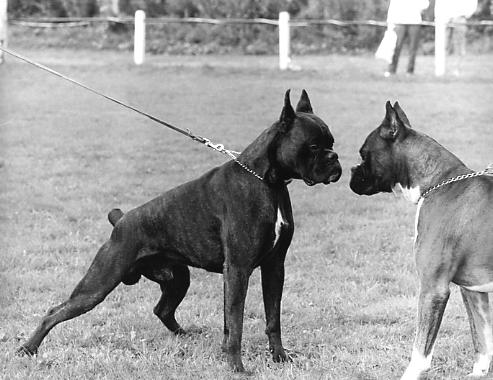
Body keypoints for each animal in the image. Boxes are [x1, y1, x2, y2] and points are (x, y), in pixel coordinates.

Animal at [19, 90, 342, 372]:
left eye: (331, 142)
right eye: (314, 146)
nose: (335, 159)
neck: (267, 181)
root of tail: (121, 221)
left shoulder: (274, 266)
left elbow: (270, 318)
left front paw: (279, 358)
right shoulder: (238, 269)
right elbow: (235, 321)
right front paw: (237, 367)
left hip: (178, 278)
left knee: (161, 309)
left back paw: (186, 335)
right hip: (98, 283)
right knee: (55, 312)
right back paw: (28, 348)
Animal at [350, 101, 492, 380]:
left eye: (364, 154)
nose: (351, 172)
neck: (438, 183)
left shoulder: (433, 288)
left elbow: (420, 353)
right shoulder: (474, 290)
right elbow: (482, 342)